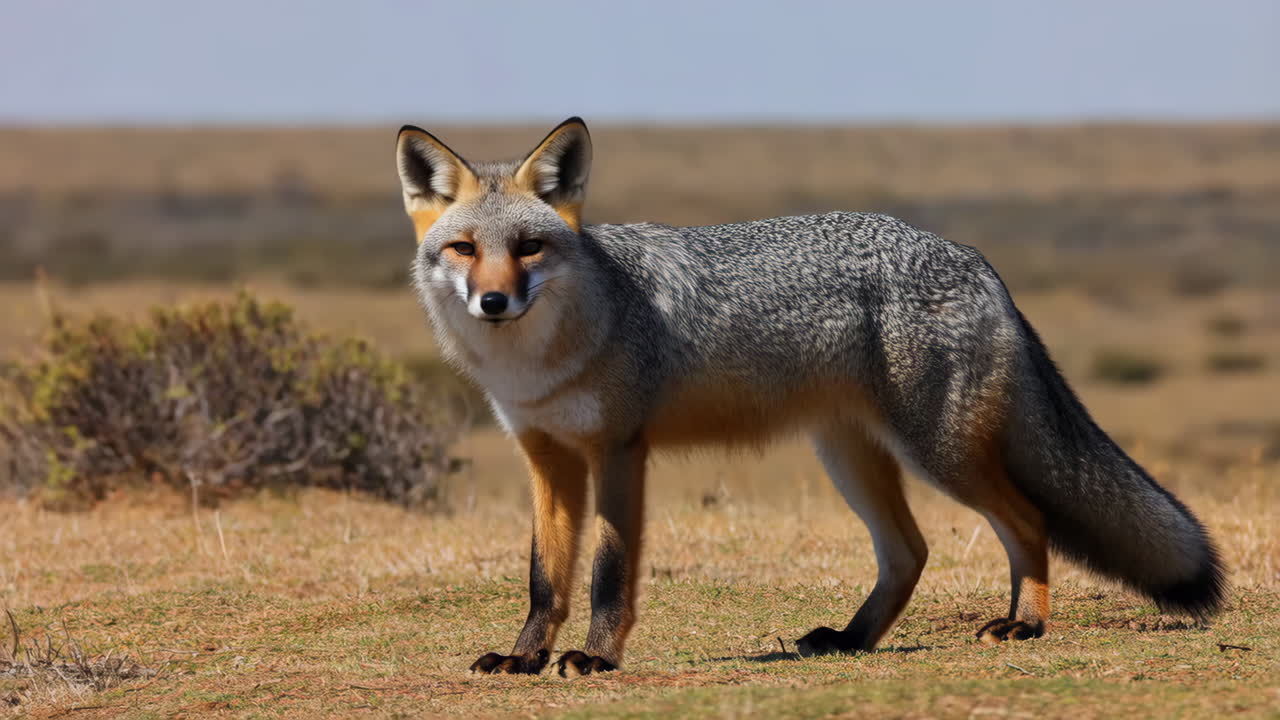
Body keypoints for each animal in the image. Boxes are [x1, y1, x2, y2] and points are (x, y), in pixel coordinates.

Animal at [394, 117, 1226, 677]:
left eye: (529, 248)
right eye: (464, 250)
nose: (494, 303)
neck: (544, 360)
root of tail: (973, 256)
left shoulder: (619, 451)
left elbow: (606, 575)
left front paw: (596, 659)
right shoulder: (548, 458)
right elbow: (546, 579)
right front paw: (525, 658)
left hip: (940, 452)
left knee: (1029, 521)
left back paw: (1024, 626)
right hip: (850, 456)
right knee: (911, 551)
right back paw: (852, 640)